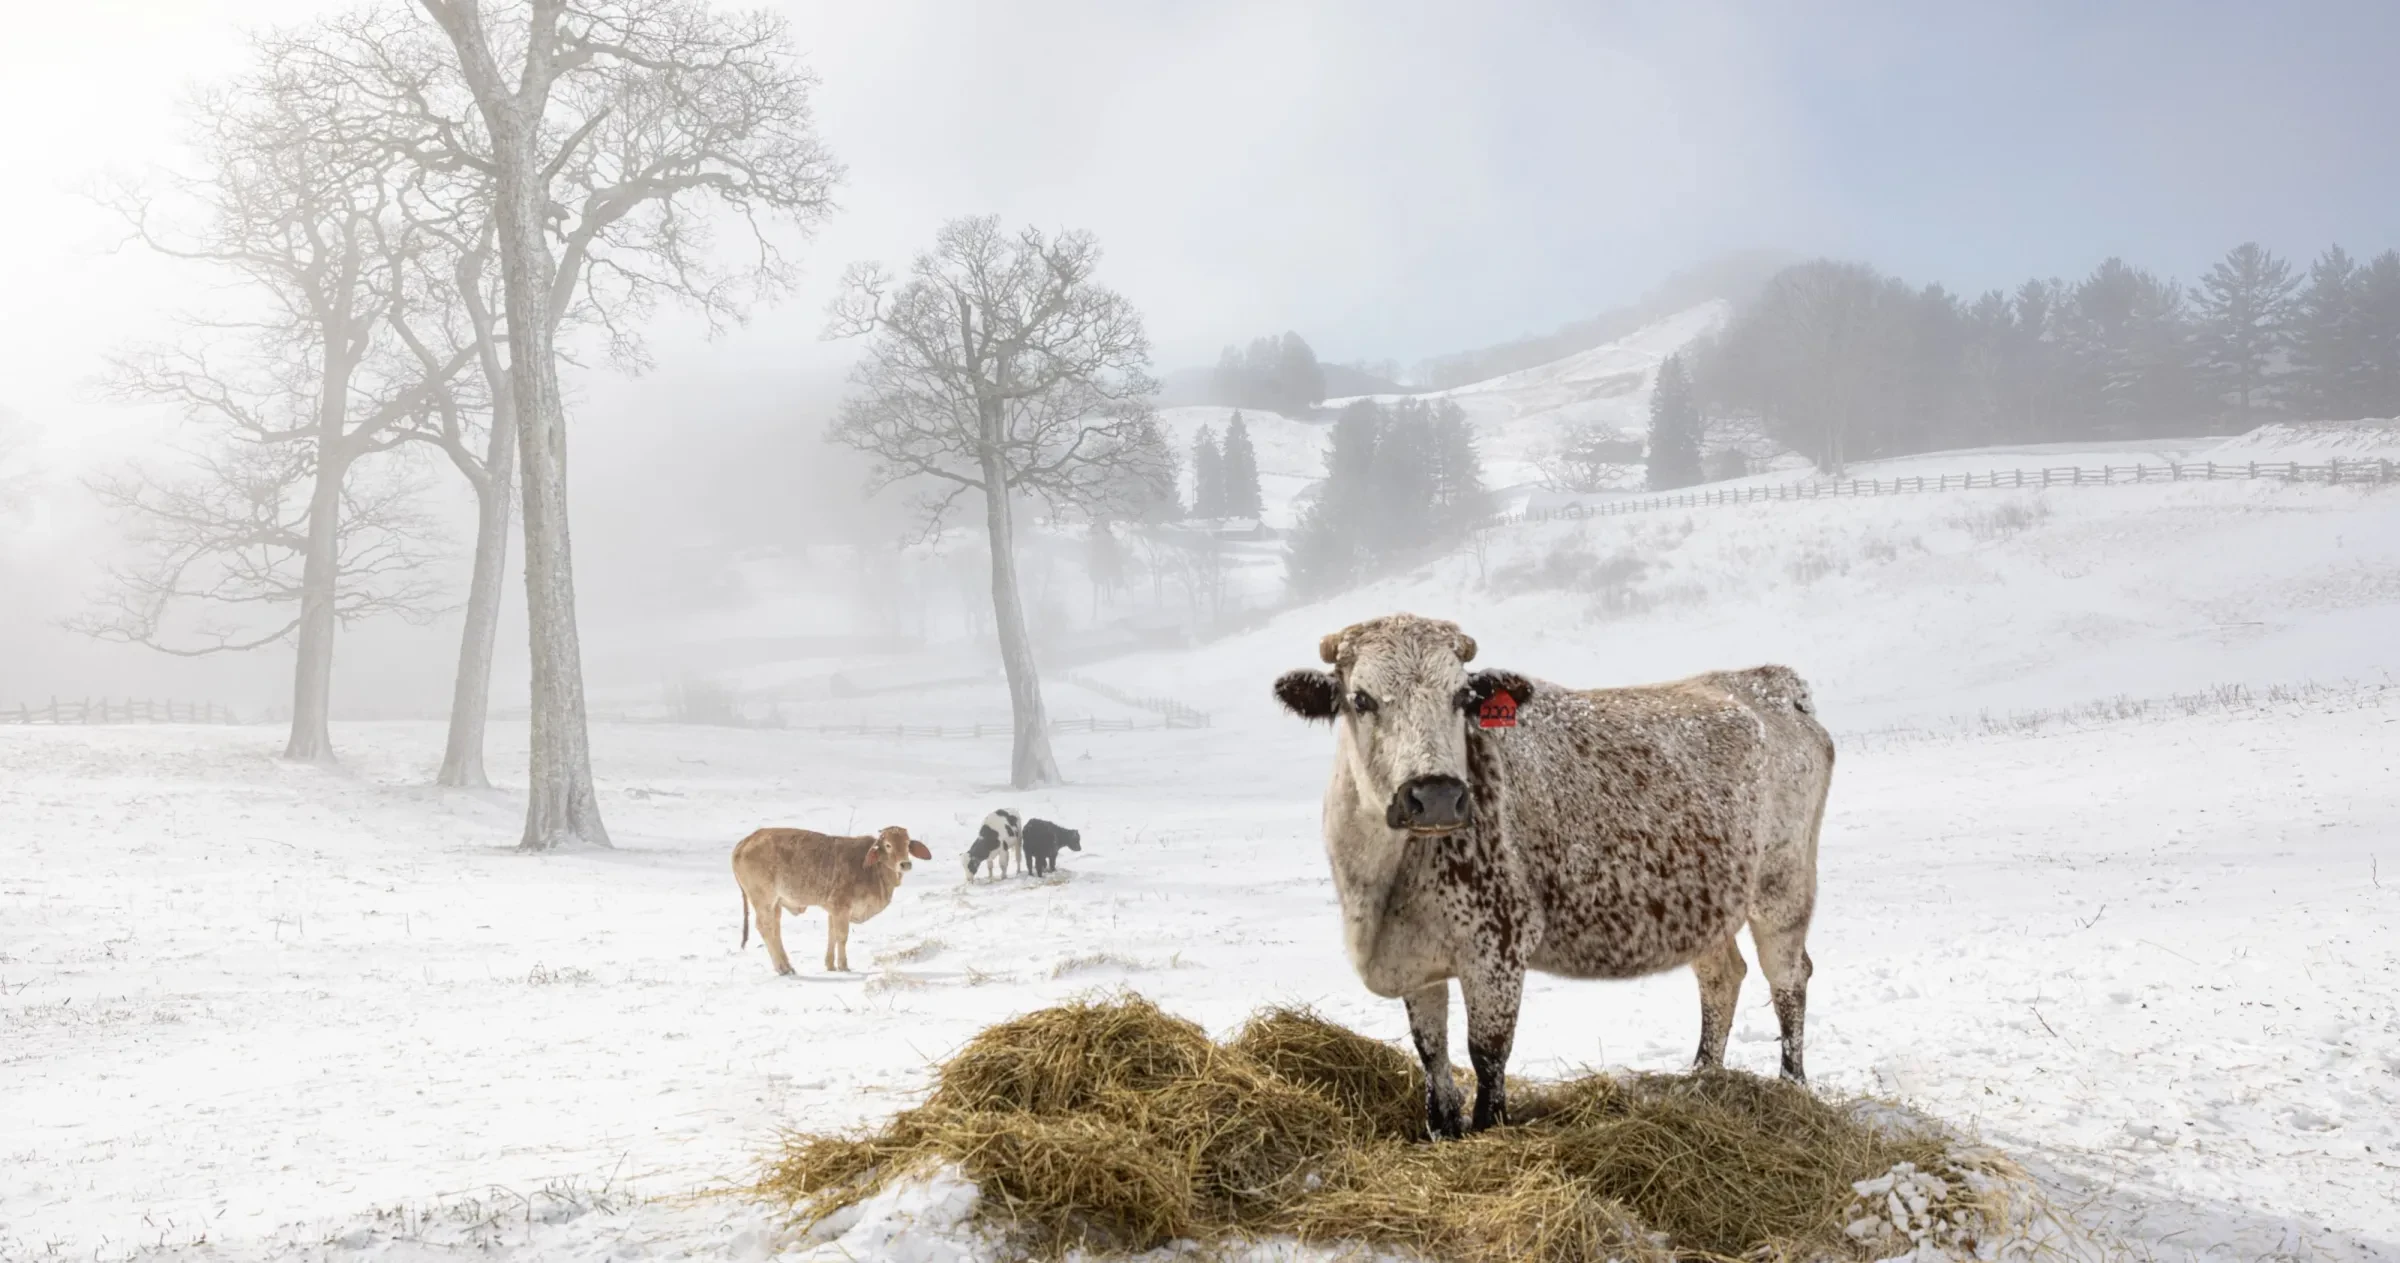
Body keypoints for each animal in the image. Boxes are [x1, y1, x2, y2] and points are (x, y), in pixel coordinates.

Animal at [734, 825, 932, 974]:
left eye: (907, 844)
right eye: (888, 845)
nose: (905, 864)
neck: (873, 870)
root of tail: (746, 841)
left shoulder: (833, 910)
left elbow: (832, 935)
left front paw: (830, 965)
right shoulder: (841, 907)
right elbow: (842, 937)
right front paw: (843, 966)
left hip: (775, 904)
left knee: (775, 929)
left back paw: (788, 966)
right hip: (763, 900)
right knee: (764, 927)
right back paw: (781, 968)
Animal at [1272, 613, 1833, 1141]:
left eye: (1461, 696)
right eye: (1361, 699)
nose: (1435, 795)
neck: (1382, 889)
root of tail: (1774, 685)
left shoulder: (1497, 948)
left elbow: (1487, 1056)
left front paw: (1489, 1129)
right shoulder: (1419, 962)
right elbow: (1433, 1055)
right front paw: (1442, 1130)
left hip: (1783, 888)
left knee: (1788, 977)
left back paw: (1791, 1087)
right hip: (1706, 903)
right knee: (1722, 977)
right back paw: (1701, 1078)